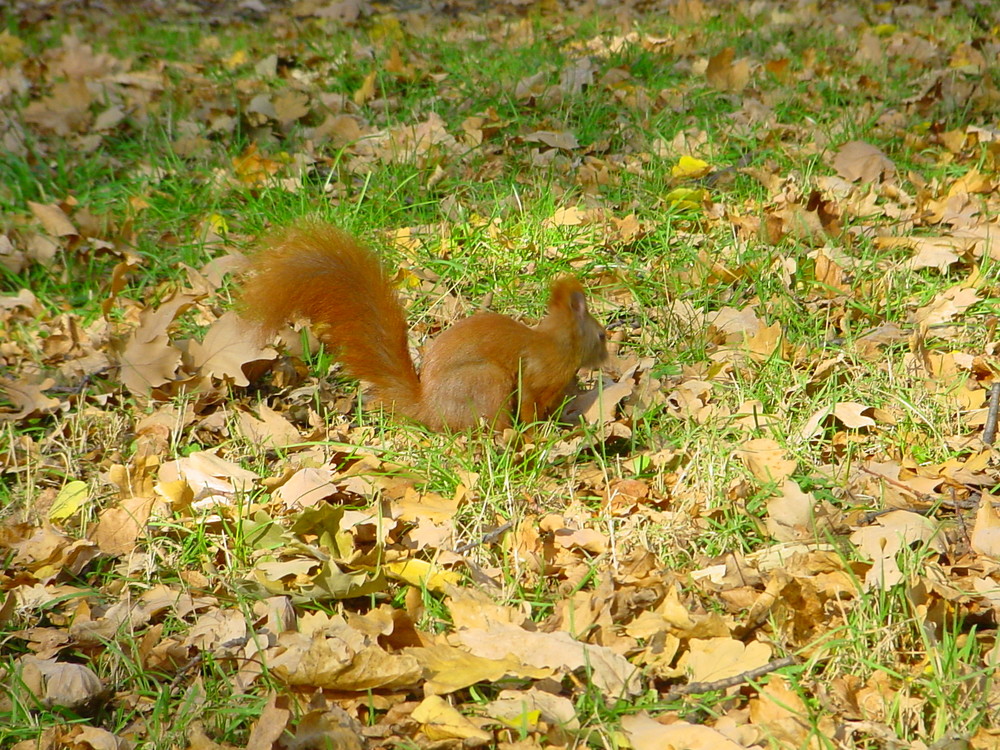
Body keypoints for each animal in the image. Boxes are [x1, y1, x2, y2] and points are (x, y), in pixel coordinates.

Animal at [240, 220, 608, 432]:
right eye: (602, 335)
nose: (607, 359)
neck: (559, 344)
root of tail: (429, 409)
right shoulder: (534, 377)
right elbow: (531, 404)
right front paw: (539, 434)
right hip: (487, 382)